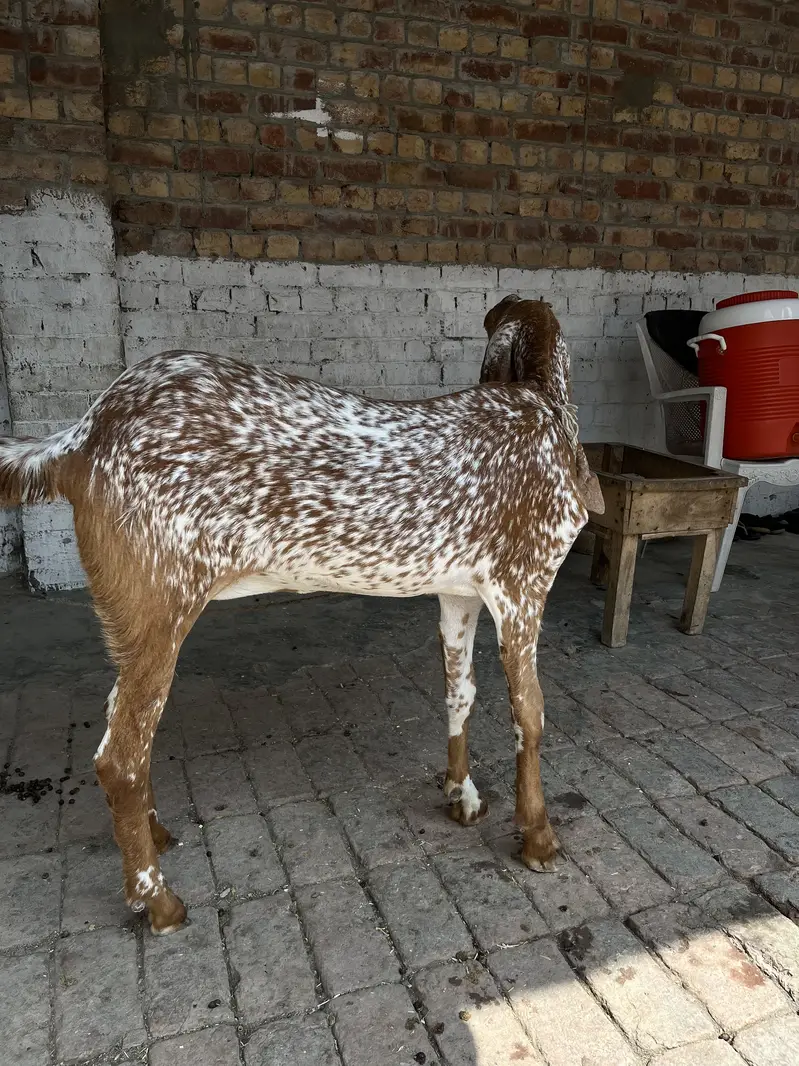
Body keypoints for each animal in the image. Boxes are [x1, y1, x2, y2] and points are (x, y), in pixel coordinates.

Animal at [0, 294, 602, 935]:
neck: (543, 409)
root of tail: (86, 434)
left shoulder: (458, 594)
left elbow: (458, 693)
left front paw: (461, 794)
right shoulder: (524, 588)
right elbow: (530, 716)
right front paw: (537, 834)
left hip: (135, 626)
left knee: (120, 726)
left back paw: (154, 834)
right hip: (163, 608)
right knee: (121, 759)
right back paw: (157, 899)